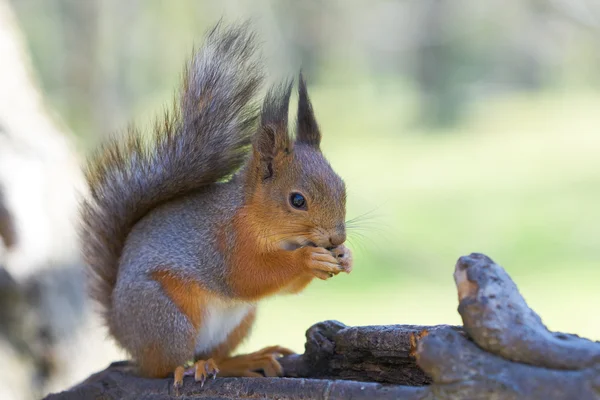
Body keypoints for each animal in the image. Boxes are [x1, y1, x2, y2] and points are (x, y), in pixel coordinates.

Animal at [79, 21, 352, 388]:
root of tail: (122, 332)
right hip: (165, 319)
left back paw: (241, 361)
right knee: (158, 367)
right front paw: (308, 259)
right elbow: (247, 276)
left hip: (239, 320)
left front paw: (343, 257)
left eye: (342, 187)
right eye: (297, 200)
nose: (337, 239)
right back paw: (184, 369)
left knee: (213, 355)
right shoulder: (225, 242)